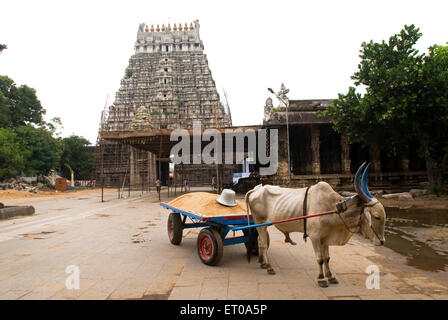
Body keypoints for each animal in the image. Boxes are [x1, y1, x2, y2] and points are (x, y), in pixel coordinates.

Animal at [245, 162, 384, 288]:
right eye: (377, 216)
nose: (382, 242)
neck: (334, 208)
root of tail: (255, 190)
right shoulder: (315, 237)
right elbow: (320, 259)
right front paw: (321, 279)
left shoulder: (325, 238)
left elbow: (327, 258)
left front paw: (331, 277)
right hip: (259, 222)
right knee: (263, 243)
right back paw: (269, 267)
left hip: (262, 225)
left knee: (260, 241)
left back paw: (262, 263)